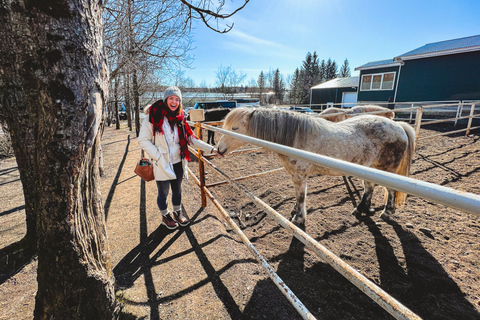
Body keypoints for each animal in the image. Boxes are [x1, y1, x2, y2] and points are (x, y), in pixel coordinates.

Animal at [218, 107, 416, 225]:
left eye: (235, 128)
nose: (218, 149)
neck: (294, 138)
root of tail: (398, 126)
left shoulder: (300, 176)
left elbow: (301, 197)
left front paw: (298, 218)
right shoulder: (296, 176)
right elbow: (298, 196)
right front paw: (295, 211)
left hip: (387, 170)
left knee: (390, 190)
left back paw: (387, 212)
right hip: (369, 168)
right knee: (369, 187)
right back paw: (361, 209)